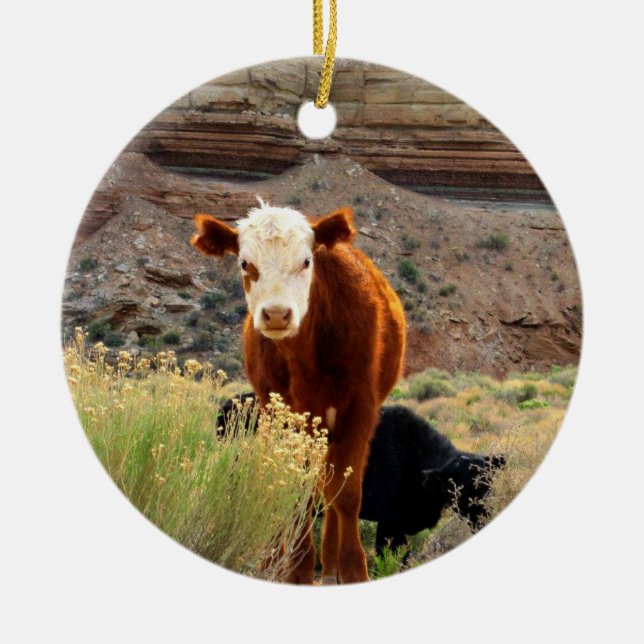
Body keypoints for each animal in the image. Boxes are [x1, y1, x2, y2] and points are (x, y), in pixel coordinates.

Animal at [192, 201, 406, 584]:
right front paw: (297, 567)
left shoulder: (360, 409)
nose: (277, 314)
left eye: (306, 261)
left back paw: (332, 565)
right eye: (245, 263)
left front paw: (353, 569)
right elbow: (296, 488)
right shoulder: (283, 413)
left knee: (333, 485)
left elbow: (346, 494)